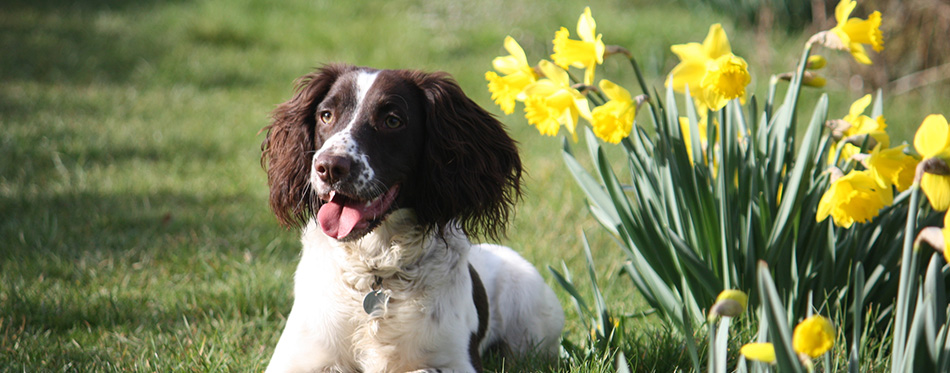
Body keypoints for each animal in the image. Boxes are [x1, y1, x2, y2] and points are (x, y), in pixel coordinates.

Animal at [260, 64, 564, 372]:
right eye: (326, 115)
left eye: (392, 121)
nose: (330, 167)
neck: (375, 272)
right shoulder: (293, 360)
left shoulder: (458, 361)